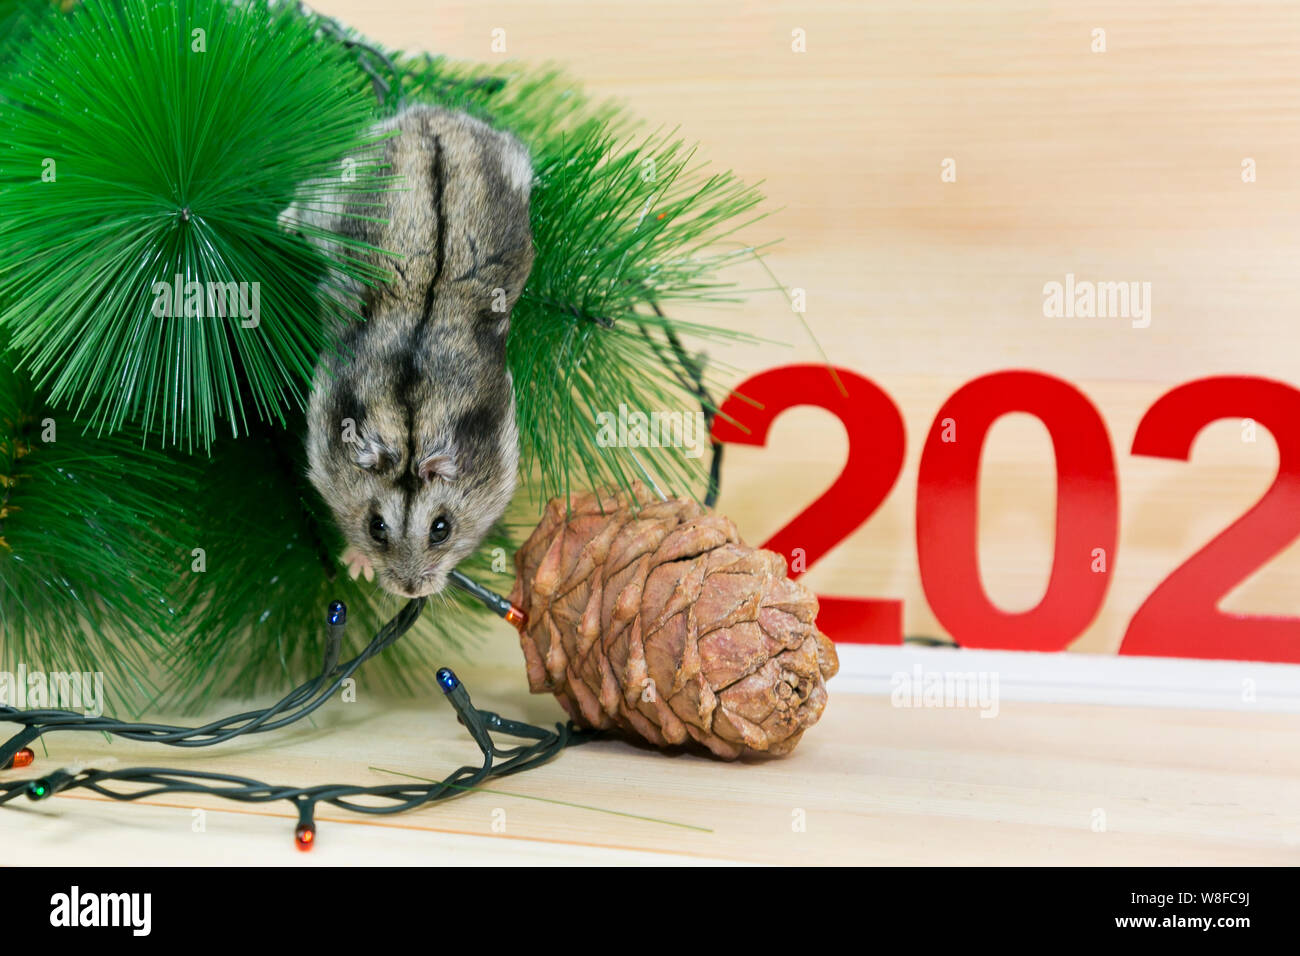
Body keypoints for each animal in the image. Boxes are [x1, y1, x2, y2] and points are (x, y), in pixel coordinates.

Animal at [283, 104, 535, 598]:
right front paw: (358, 567)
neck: (412, 433)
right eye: (376, 527)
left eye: (442, 528)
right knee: (301, 195)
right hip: (331, 191)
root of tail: (427, 115)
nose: (410, 590)